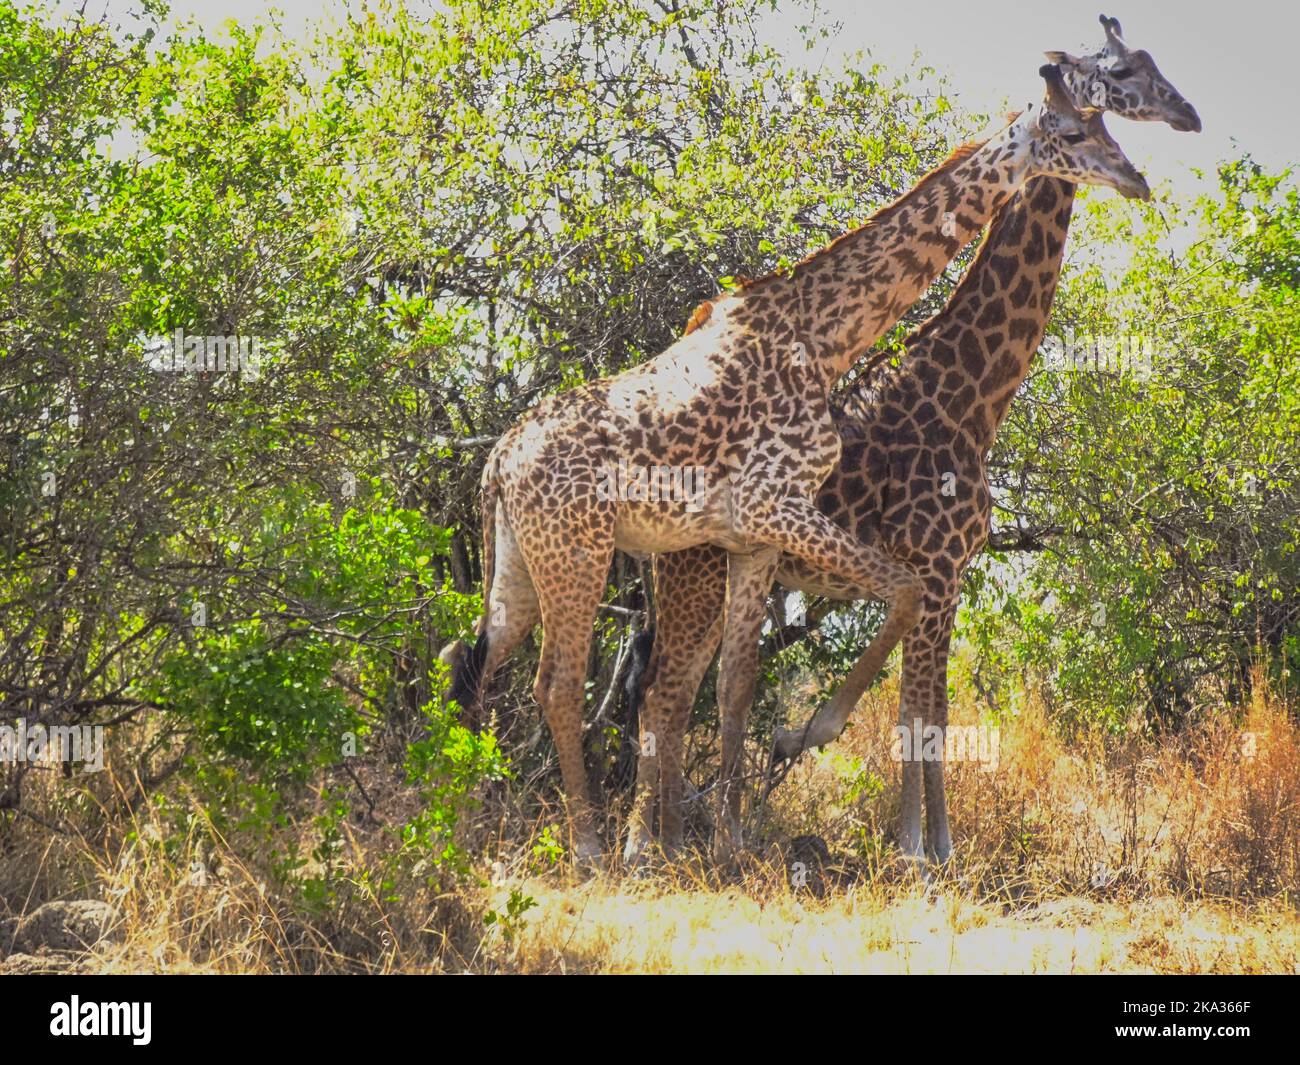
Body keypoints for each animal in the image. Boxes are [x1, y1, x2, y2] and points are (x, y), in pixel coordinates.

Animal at [449, 66, 1149, 868]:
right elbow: (918, 705)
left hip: (529, 567)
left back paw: (504, 827)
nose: (1136, 177)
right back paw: (603, 847)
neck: (968, 397)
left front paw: (751, 839)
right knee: (579, 685)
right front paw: (917, 846)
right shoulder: (918, 560)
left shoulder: (800, 545)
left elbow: (775, 688)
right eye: (1079, 130)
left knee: (493, 665)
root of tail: (497, 464)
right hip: (592, 558)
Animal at [624, 14, 1201, 868]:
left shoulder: (949, 574)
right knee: (663, 694)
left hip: (728, 570)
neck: (969, 398)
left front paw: (935, 845)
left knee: (691, 687)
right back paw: (648, 843)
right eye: (1123, 72)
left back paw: (679, 839)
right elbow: (917, 712)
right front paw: (919, 850)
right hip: (692, 568)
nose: (1185, 117)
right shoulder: (933, 568)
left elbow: (931, 708)